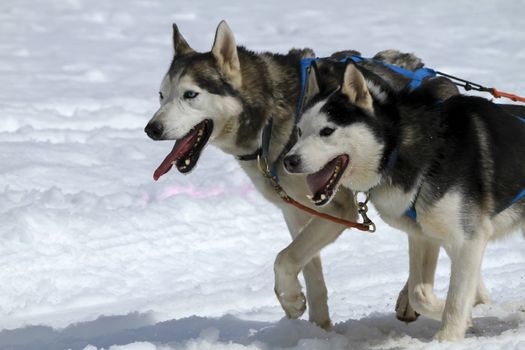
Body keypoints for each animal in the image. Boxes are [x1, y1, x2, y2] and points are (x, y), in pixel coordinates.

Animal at [143, 20, 446, 330]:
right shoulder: (296, 212)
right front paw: (317, 327)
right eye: (161, 95)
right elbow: (310, 272)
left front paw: (290, 301)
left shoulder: (339, 208)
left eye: (190, 94)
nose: (151, 129)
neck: (268, 117)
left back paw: (410, 299)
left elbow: (284, 259)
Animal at [282, 59, 524, 340]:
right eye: (299, 131)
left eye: (327, 131)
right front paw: (462, 316)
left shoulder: (469, 240)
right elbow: (419, 294)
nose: (289, 161)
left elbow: (456, 302)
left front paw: (446, 338)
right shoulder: (423, 236)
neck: (399, 147)